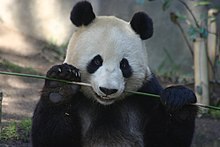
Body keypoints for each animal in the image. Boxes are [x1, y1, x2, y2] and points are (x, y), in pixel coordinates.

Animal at [31, 1, 198, 147]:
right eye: (96, 61)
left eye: (124, 65)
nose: (108, 90)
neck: (106, 106)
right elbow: (52, 138)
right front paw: (61, 86)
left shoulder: (146, 93)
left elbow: (166, 140)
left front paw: (178, 101)